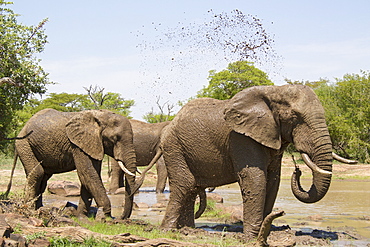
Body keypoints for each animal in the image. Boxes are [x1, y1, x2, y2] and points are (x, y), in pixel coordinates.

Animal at [142, 84, 336, 239]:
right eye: (295, 117)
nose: (297, 170)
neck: (275, 90)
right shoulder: (241, 138)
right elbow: (255, 179)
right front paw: (251, 238)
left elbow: (273, 180)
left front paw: (264, 232)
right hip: (174, 147)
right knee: (185, 184)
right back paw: (167, 231)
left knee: (191, 187)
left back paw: (188, 230)